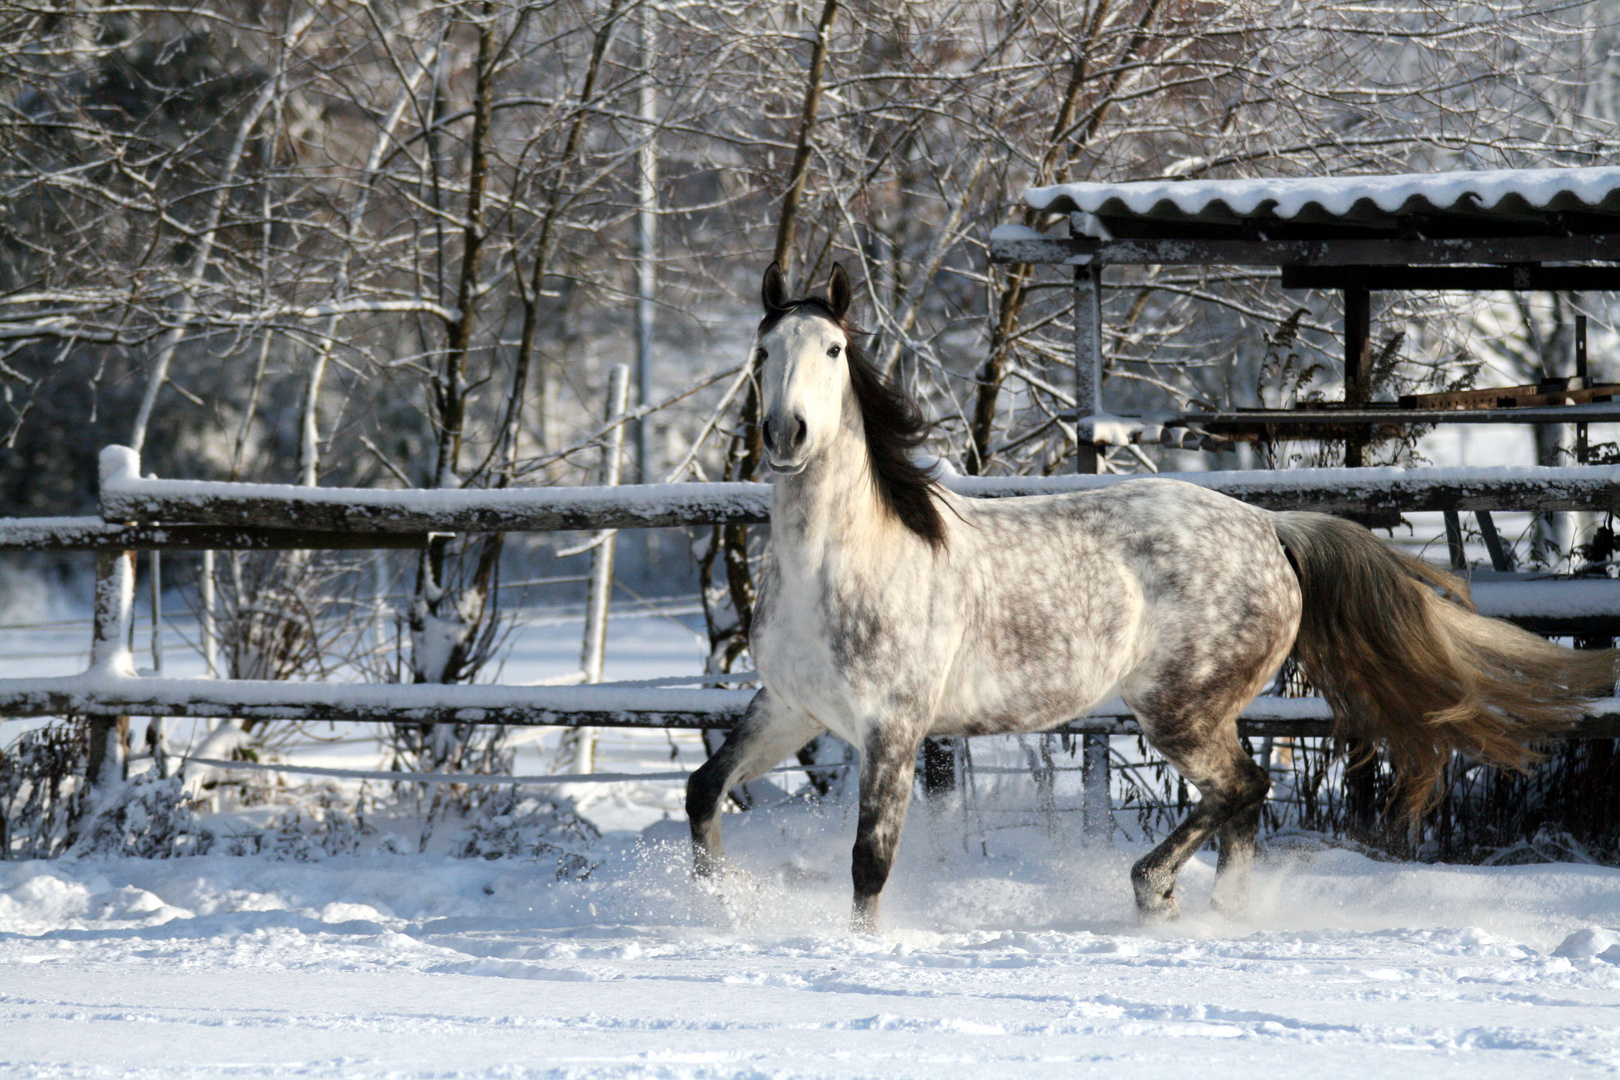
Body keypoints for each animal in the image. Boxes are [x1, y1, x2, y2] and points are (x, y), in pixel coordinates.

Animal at [686, 263, 1620, 939]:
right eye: (763, 354)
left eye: (833, 351)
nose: (787, 434)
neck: (845, 558)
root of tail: (1269, 528)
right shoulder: (792, 709)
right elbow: (703, 791)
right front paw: (720, 904)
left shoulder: (895, 726)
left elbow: (869, 863)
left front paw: (862, 950)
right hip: (1205, 708)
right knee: (1244, 800)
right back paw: (1221, 914)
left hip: (1177, 707)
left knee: (1241, 788)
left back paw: (1157, 893)